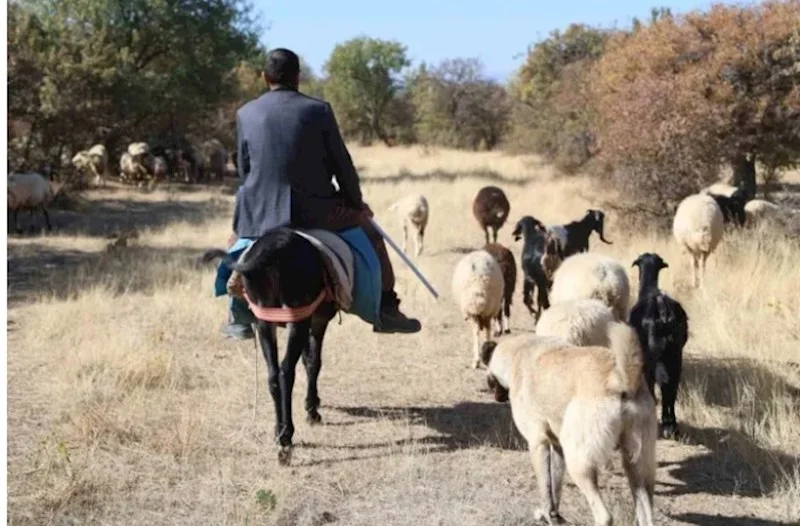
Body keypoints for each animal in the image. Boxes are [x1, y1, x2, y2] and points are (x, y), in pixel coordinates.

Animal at [205, 229, 336, 468]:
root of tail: (269, 251)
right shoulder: (317, 321)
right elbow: (313, 362)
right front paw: (312, 410)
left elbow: (307, 360)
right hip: (296, 317)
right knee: (286, 372)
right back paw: (286, 439)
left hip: (264, 320)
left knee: (273, 374)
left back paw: (279, 434)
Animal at [482, 324, 656, 524]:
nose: (497, 397)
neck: (518, 351)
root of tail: (621, 379)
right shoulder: (557, 447)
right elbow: (555, 487)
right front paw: (553, 515)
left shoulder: (537, 444)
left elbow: (545, 489)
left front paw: (547, 516)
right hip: (637, 466)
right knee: (646, 511)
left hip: (579, 463)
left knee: (604, 516)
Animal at [628, 254, 692, 440]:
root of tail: (664, 312)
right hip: (675, 355)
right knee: (672, 387)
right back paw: (672, 425)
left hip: (655, 356)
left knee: (662, 383)